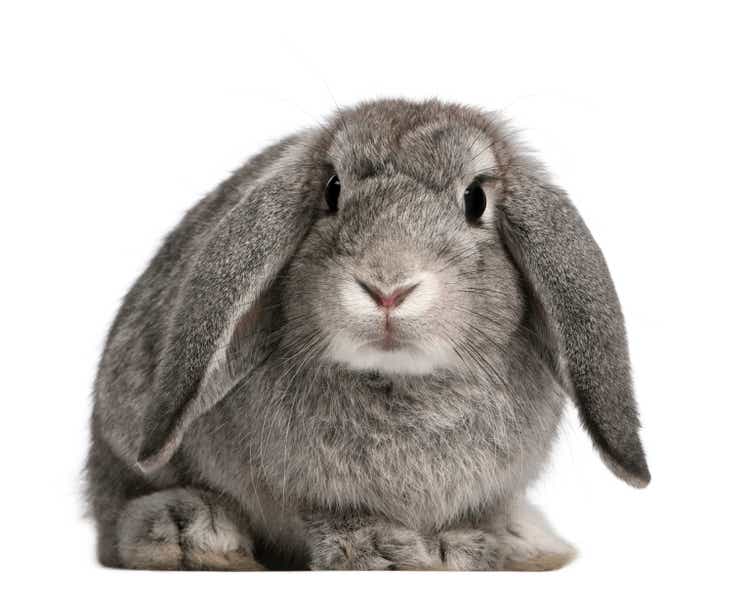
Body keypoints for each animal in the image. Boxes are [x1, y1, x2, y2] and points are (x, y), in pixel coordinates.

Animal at [85, 99, 648, 572]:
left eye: (476, 199)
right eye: (333, 191)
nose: (388, 287)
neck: (403, 381)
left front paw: (463, 548)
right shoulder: (312, 493)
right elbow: (333, 516)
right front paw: (383, 552)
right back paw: (191, 535)